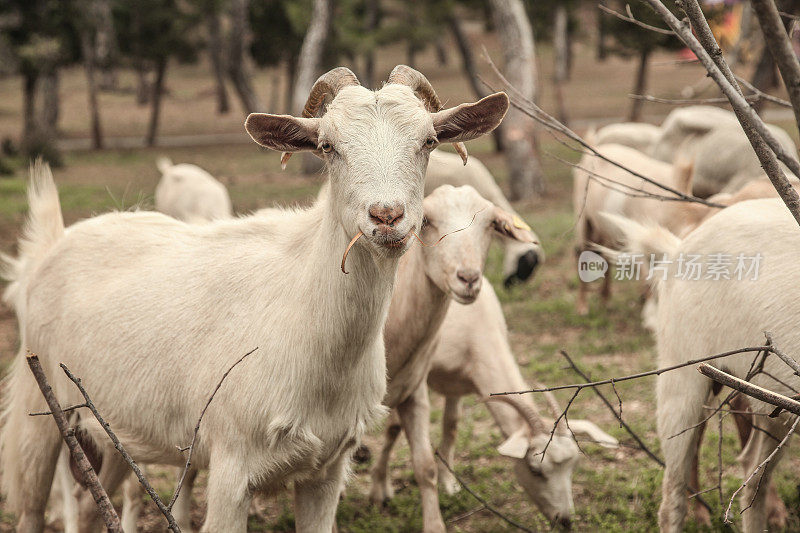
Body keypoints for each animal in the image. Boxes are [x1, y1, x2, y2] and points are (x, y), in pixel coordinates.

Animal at [0, 67, 510, 532]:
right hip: (39, 412)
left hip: (111, 431)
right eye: (328, 146)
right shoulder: (230, 468)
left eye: (429, 141)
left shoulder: (327, 472)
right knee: (30, 509)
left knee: (91, 508)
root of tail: (49, 248)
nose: (386, 216)